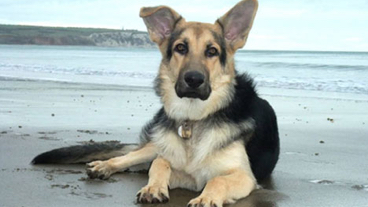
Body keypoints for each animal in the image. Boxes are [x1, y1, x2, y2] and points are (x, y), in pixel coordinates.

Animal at [33, 0, 278, 206]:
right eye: (181, 48)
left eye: (212, 51)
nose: (193, 79)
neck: (193, 119)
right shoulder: (176, 165)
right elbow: (161, 163)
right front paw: (153, 187)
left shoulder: (244, 176)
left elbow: (217, 180)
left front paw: (205, 198)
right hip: (154, 144)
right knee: (130, 156)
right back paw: (104, 165)